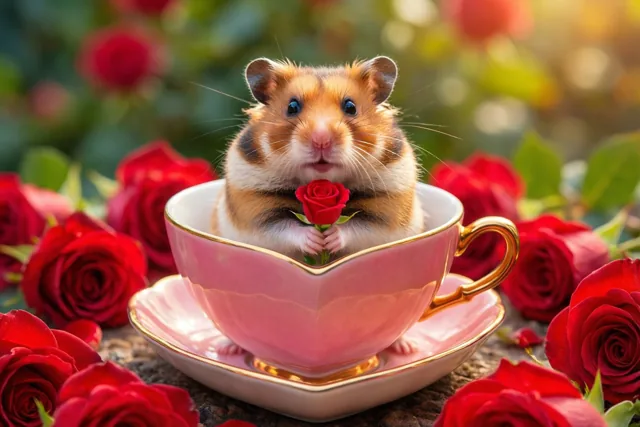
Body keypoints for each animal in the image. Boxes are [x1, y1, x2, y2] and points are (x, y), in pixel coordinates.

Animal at [210, 56, 425, 356]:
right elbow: (282, 226)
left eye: (350, 106)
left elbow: (362, 225)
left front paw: (329, 238)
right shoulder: (254, 207)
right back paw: (227, 348)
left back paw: (407, 348)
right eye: (292, 106)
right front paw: (314, 240)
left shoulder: (388, 208)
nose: (321, 139)